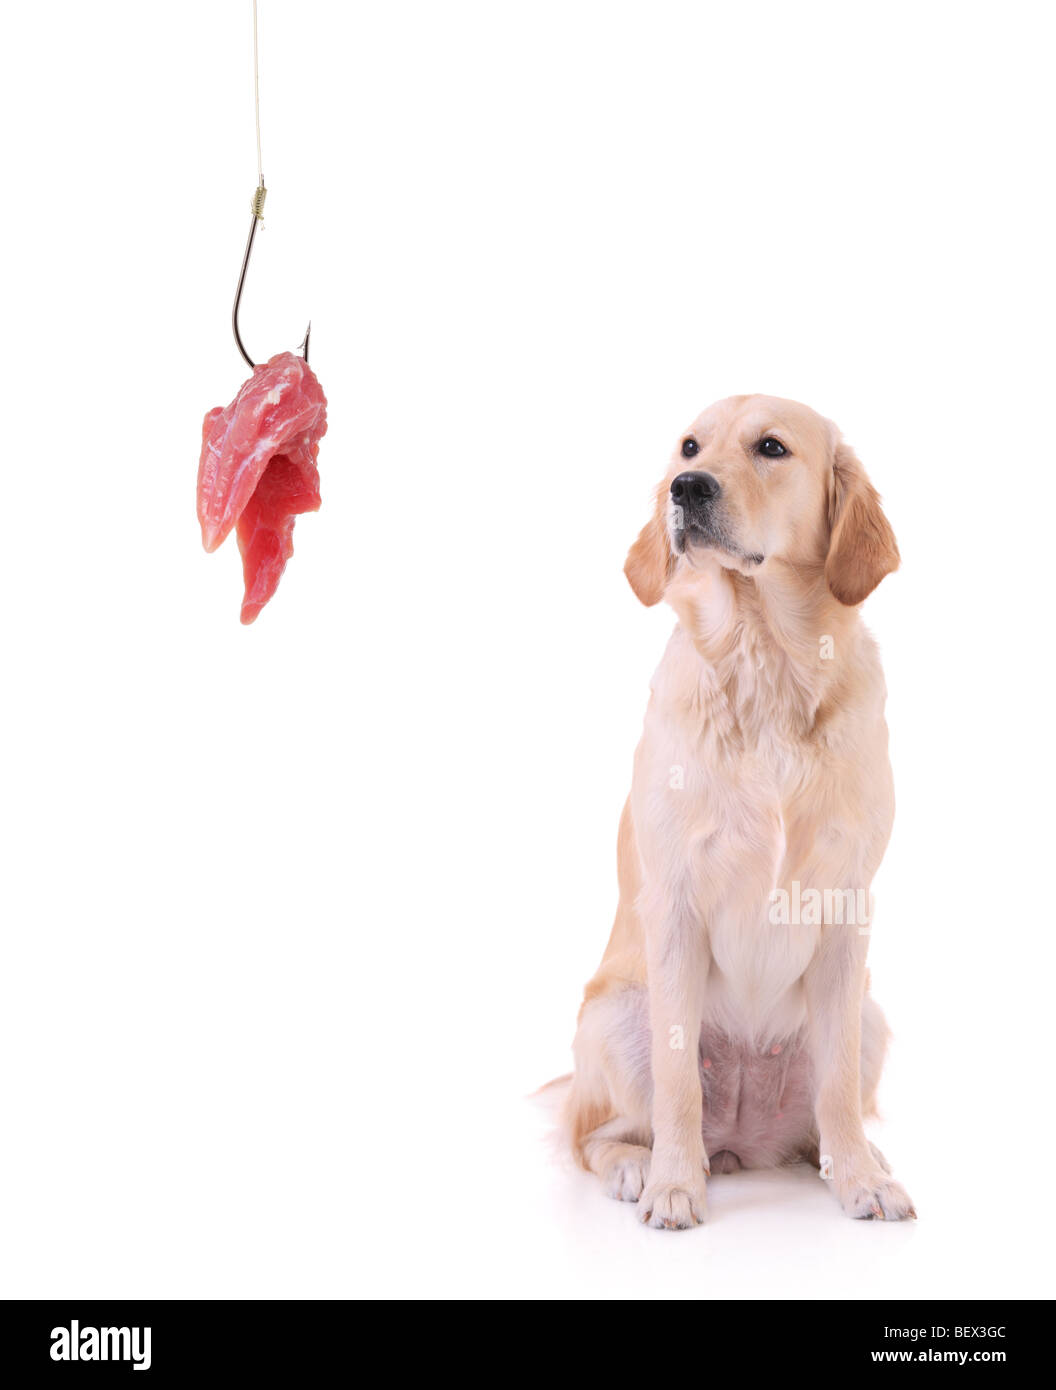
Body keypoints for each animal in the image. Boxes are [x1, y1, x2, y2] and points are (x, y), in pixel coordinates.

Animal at [561, 391, 917, 1228]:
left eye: (772, 447)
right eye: (689, 445)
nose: (685, 488)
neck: (769, 662)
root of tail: (743, 1145)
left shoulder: (845, 906)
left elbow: (838, 1088)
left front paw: (860, 1180)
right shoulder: (675, 904)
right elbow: (678, 1082)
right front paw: (672, 1186)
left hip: (870, 1015)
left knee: (824, 1111)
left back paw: (854, 1158)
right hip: (613, 1014)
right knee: (598, 1135)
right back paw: (641, 1166)